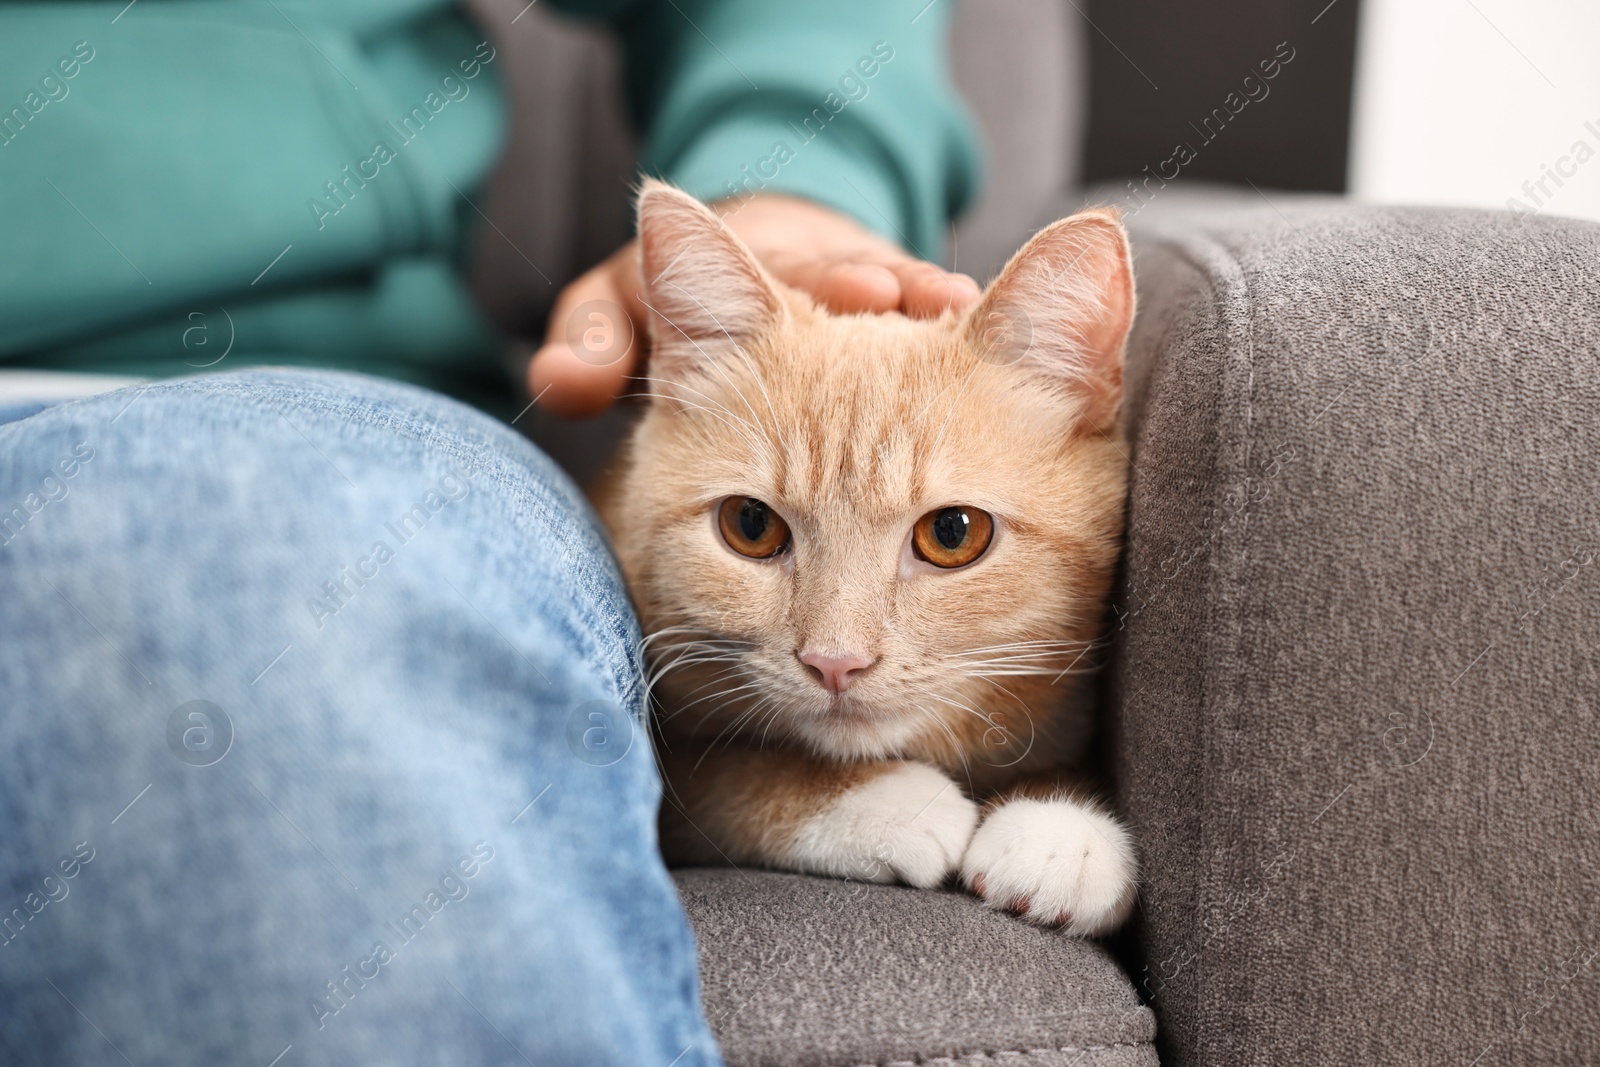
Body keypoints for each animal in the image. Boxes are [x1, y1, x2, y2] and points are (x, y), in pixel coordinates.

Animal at [601, 181, 1139, 934]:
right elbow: (719, 773)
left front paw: (1062, 825)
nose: (836, 661)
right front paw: (880, 800)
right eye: (749, 525)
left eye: (953, 533)